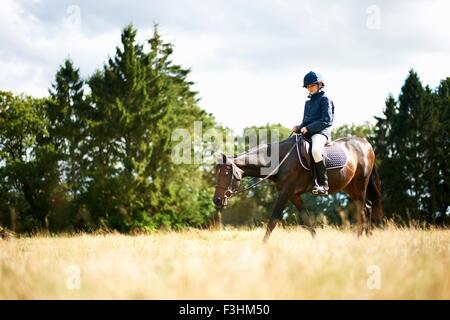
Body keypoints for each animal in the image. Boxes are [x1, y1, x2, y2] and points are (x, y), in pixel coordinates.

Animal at [213, 133, 382, 242]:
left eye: (227, 173)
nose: (217, 200)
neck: (281, 160)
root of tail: (365, 143)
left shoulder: (285, 193)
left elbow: (272, 221)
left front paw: (263, 246)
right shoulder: (294, 195)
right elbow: (308, 222)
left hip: (360, 185)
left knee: (363, 210)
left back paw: (360, 240)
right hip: (351, 187)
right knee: (366, 208)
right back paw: (367, 239)